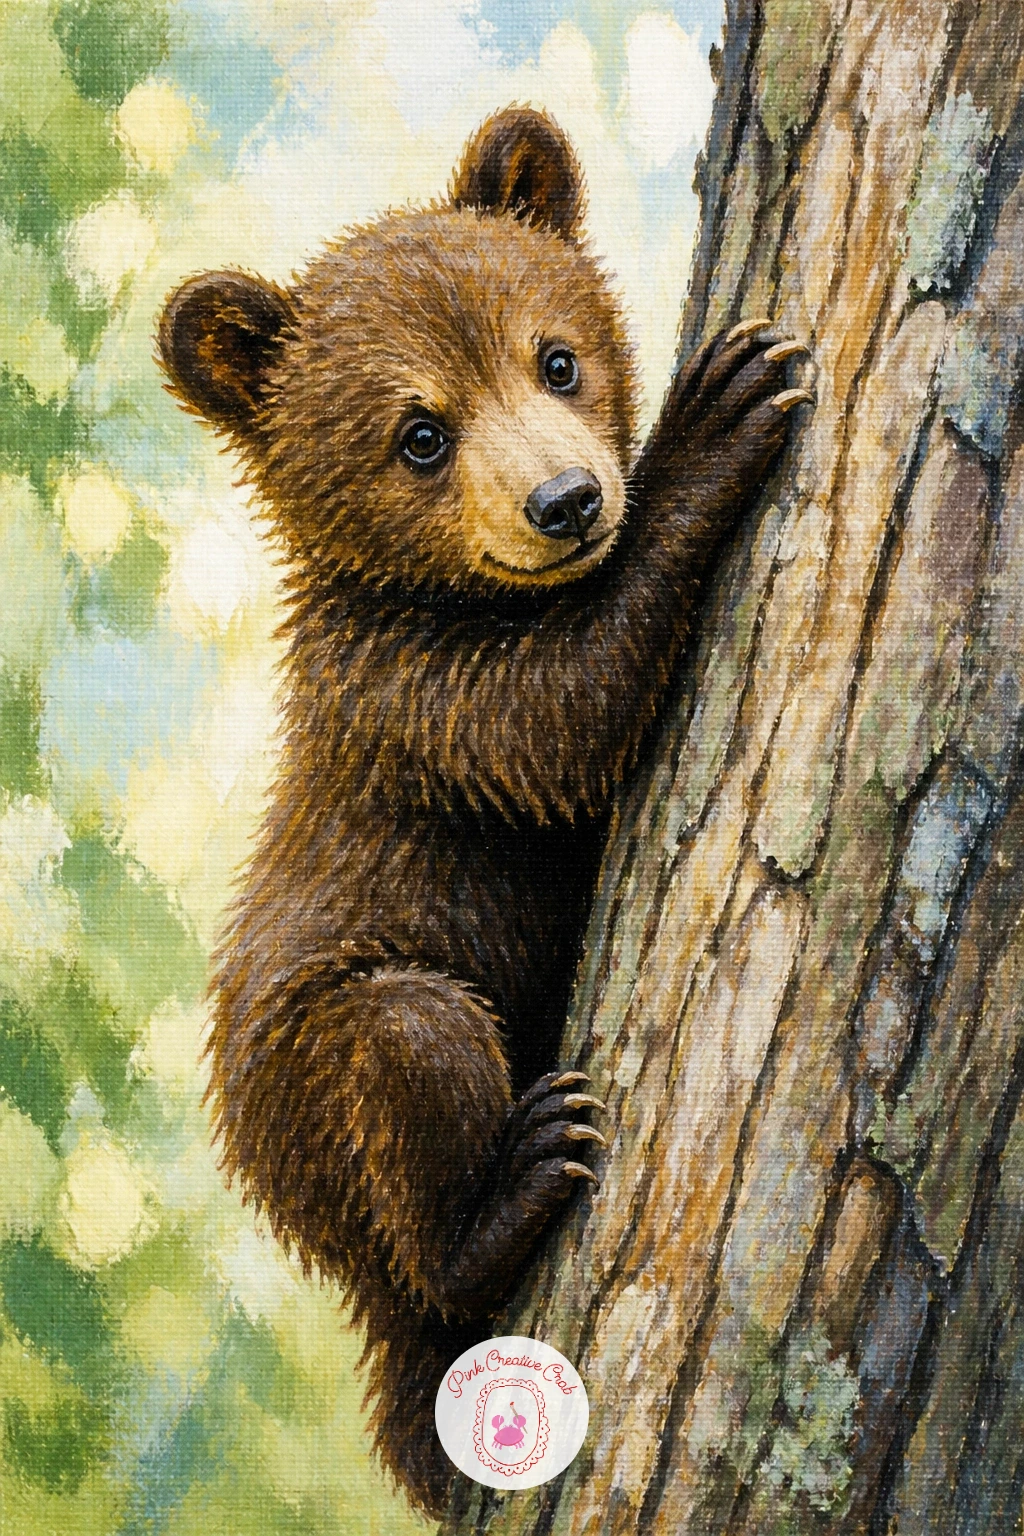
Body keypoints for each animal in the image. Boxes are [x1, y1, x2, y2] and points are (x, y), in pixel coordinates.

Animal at [157, 106, 811, 1515]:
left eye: (555, 359)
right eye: (419, 433)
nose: (567, 502)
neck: (458, 594)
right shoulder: (398, 689)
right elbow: (555, 722)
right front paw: (717, 417)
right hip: (316, 1085)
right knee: (411, 1057)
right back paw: (509, 1187)